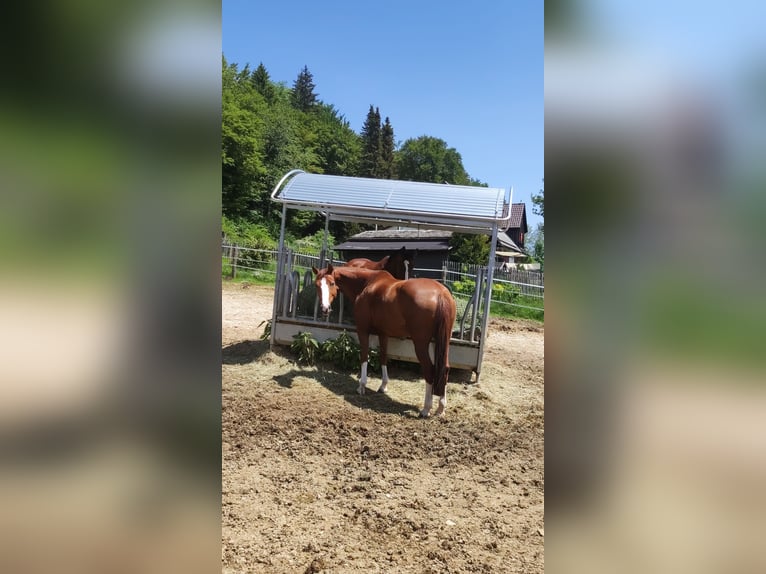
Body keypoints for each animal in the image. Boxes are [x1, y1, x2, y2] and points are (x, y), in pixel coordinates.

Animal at [312, 266, 456, 418]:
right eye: (317, 285)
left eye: (332, 283)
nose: (325, 308)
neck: (366, 283)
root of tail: (441, 293)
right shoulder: (383, 333)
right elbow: (383, 357)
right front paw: (383, 386)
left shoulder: (363, 330)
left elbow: (364, 356)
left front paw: (361, 386)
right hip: (441, 342)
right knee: (444, 368)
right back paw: (440, 408)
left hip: (421, 343)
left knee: (429, 369)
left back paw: (426, 409)